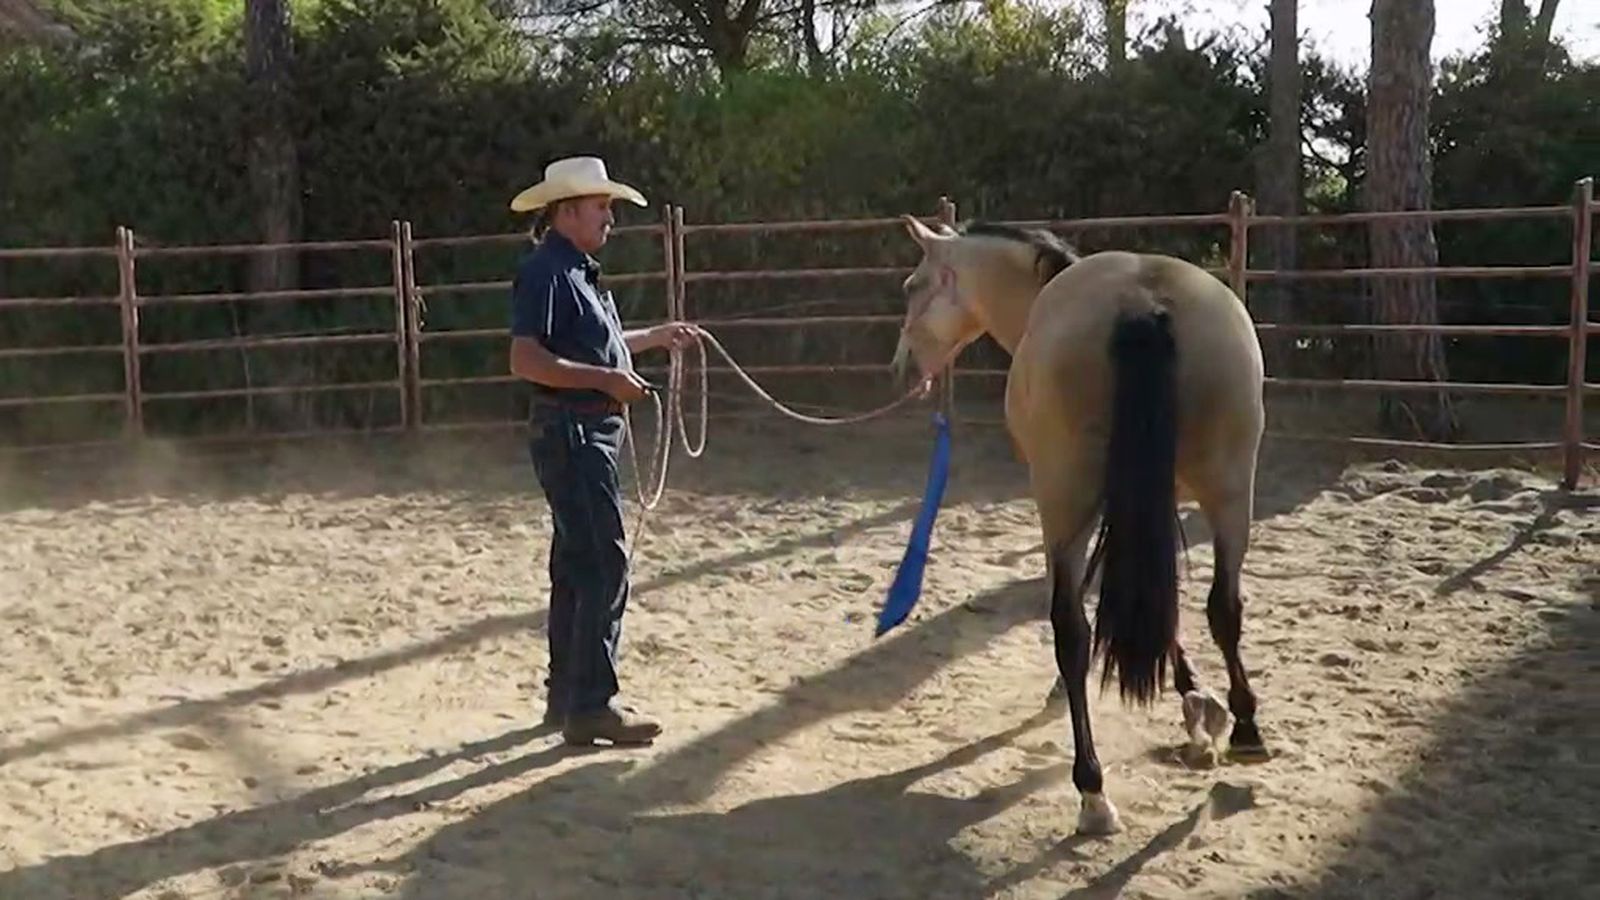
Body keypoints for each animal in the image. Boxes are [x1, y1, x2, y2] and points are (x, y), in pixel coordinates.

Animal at [892, 215, 1267, 835]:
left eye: (912, 286)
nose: (900, 369)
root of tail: (1142, 302)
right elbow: (1152, 600)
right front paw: (1195, 700)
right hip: (1231, 492)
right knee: (1225, 607)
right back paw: (1246, 728)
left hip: (1065, 499)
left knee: (1070, 627)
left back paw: (1092, 790)